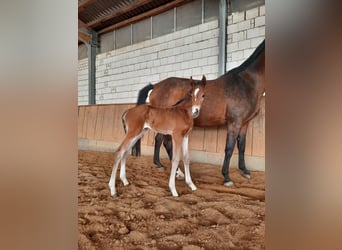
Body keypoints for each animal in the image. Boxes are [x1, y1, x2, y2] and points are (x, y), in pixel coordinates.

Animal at [132, 40, 266, 187]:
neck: (245, 83)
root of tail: (156, 86)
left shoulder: (244, 123)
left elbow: (242, 146)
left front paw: (245, 171)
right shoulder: (234, 123)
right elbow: (229, 149)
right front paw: (226, 177)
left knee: (159, 140)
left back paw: (163, 166)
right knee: (166, 142)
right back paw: (177, 172)